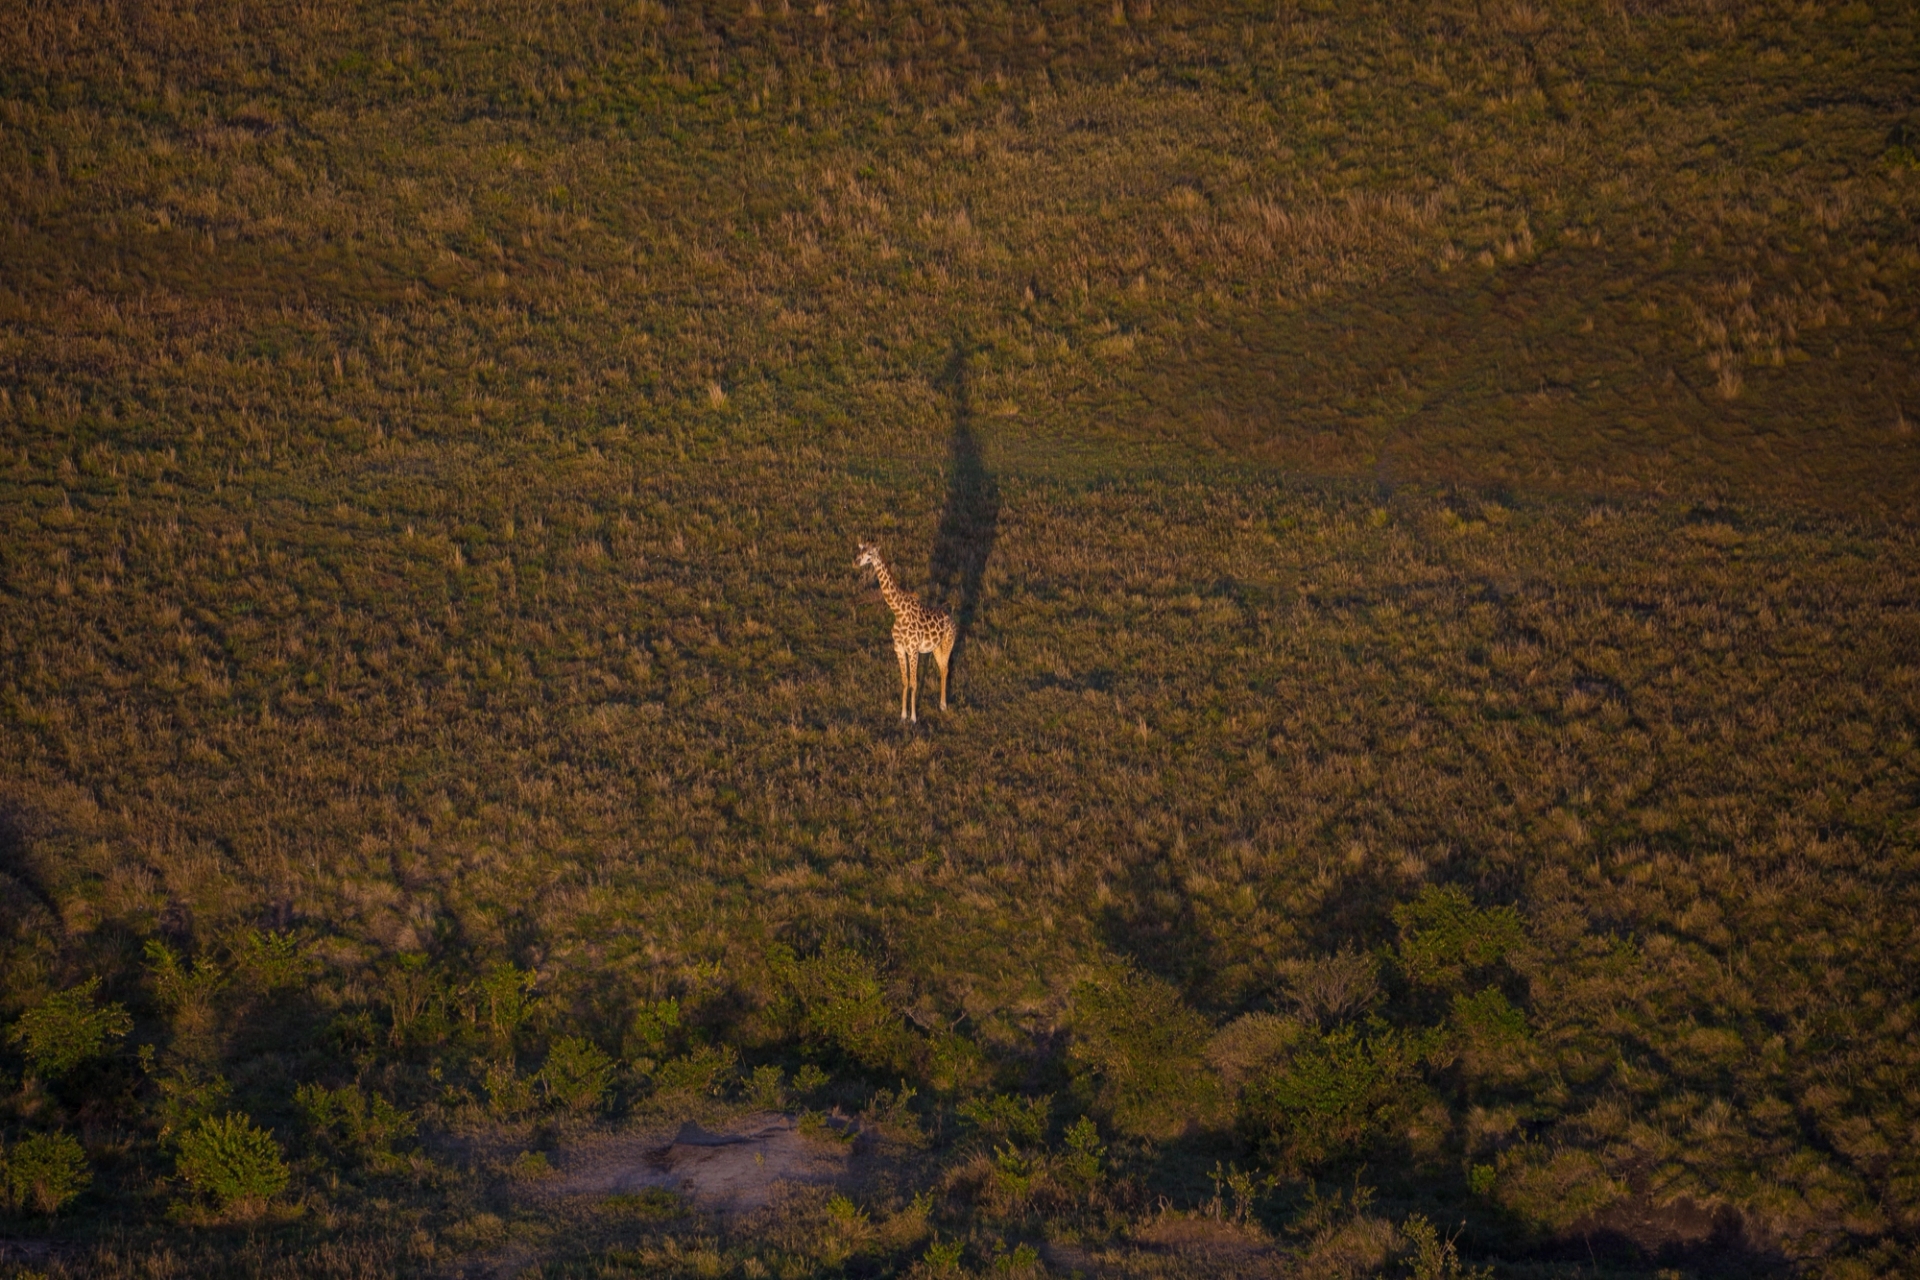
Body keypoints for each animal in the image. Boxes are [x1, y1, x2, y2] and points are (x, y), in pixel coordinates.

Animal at [855, 542, 957, 722]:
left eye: (870, 553)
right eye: (860, 551)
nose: (856, 561)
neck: (898, 611)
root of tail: (951, 618)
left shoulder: (913, 650)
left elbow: (914, 683)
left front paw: (914, 717)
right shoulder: (899, 649)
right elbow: (905, 681)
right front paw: (903, 715)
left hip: (948, 643)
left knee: (945, 669)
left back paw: (943, 705)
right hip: (935, 648)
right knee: (942, 668)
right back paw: (941, 703)